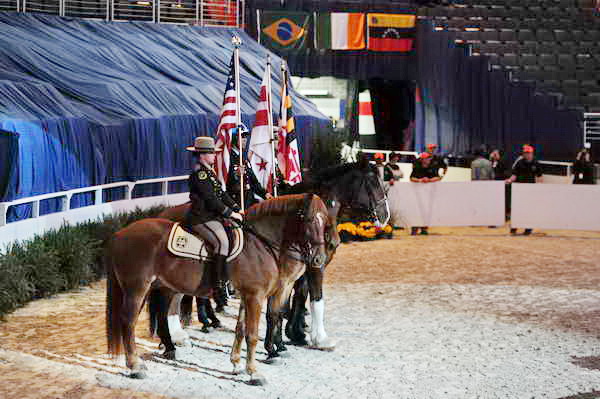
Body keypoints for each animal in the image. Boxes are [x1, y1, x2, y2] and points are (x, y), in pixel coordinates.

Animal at [108, 195, 332, 386]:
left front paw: (237, 365)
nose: (319, 259)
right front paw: (255, 372)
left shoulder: (247, 296)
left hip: (160, 287)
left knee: (159, 316)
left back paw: (168, 349)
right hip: (136, 289)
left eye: (326, 222)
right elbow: (253, 333)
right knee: (129, 322)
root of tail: (119, 234)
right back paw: (136, 366)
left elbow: (241, 329)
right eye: (310, 220)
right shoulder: (256, 296)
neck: (260, 244)